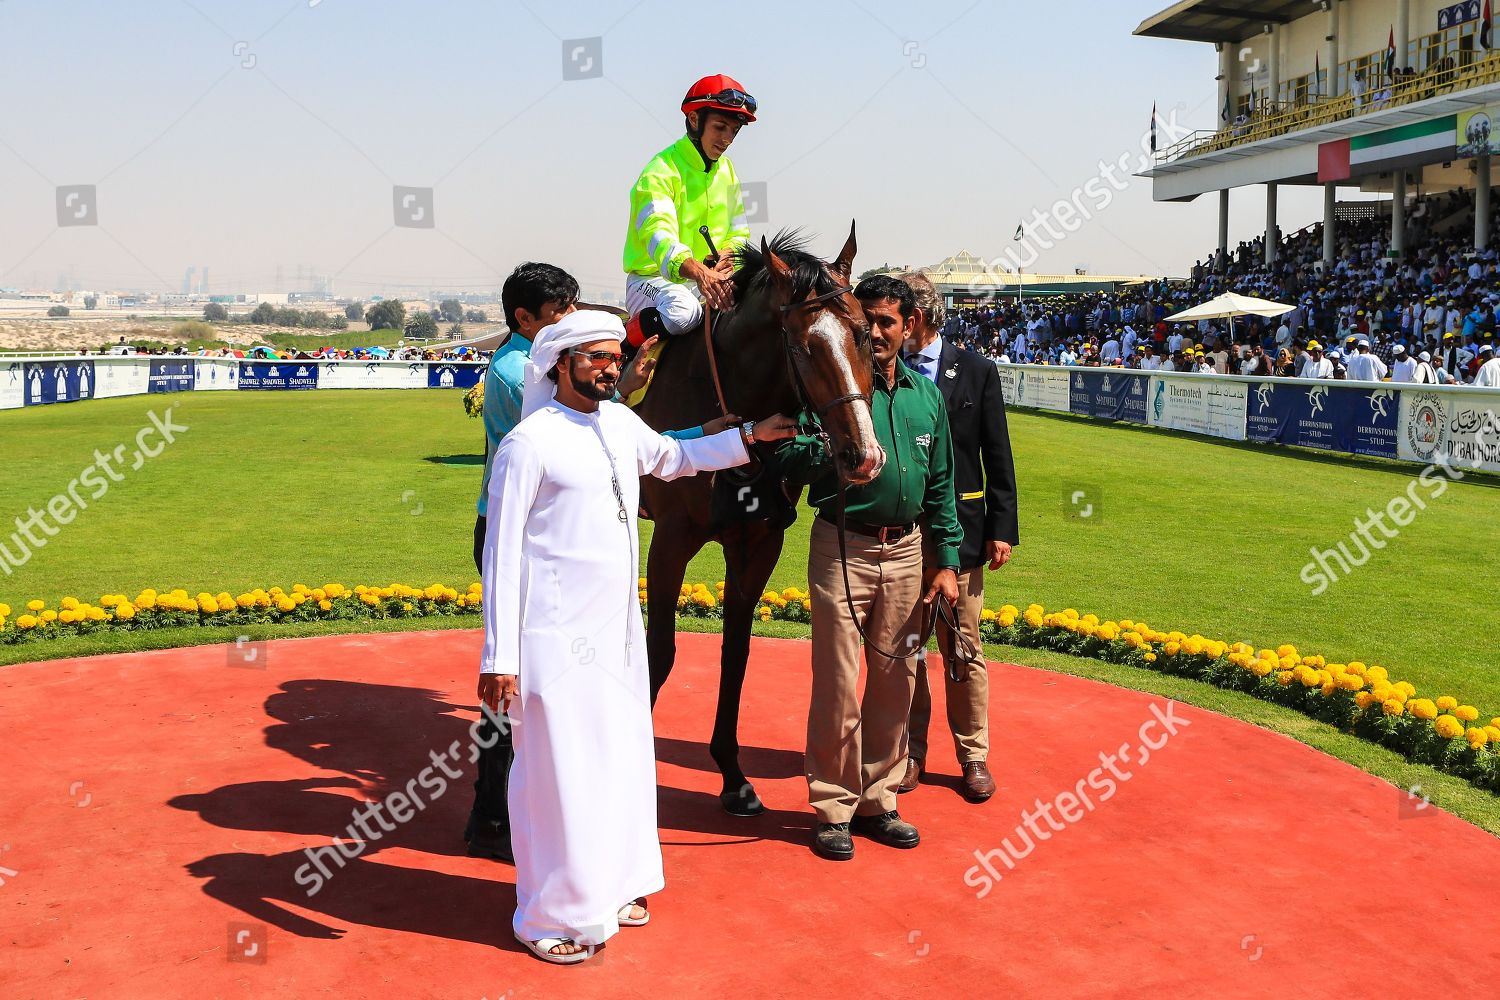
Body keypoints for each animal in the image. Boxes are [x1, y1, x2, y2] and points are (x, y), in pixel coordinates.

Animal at [636, 229, 888, 821]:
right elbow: (661, 650)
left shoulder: (758, 540)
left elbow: (737, 652)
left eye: (865, 334)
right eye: (802, 347)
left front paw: (732, 776)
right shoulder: (672, 538)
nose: (862, 455)